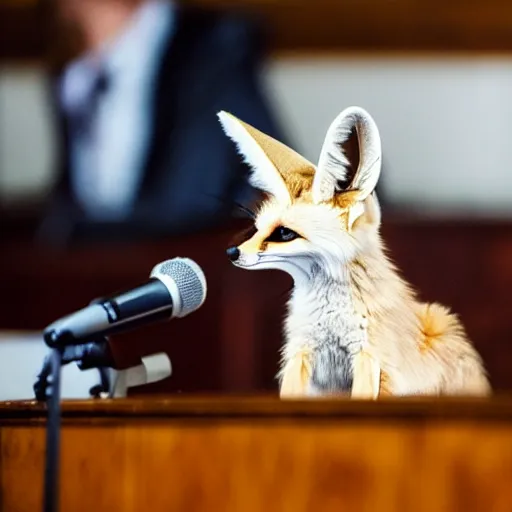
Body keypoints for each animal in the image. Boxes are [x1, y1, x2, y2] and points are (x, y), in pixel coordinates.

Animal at [218, 106, 490, 398]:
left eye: (284, 233)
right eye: (257, 228)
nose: (232, 252)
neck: (329, 319)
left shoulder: (369, 357)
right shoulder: (301, 350)